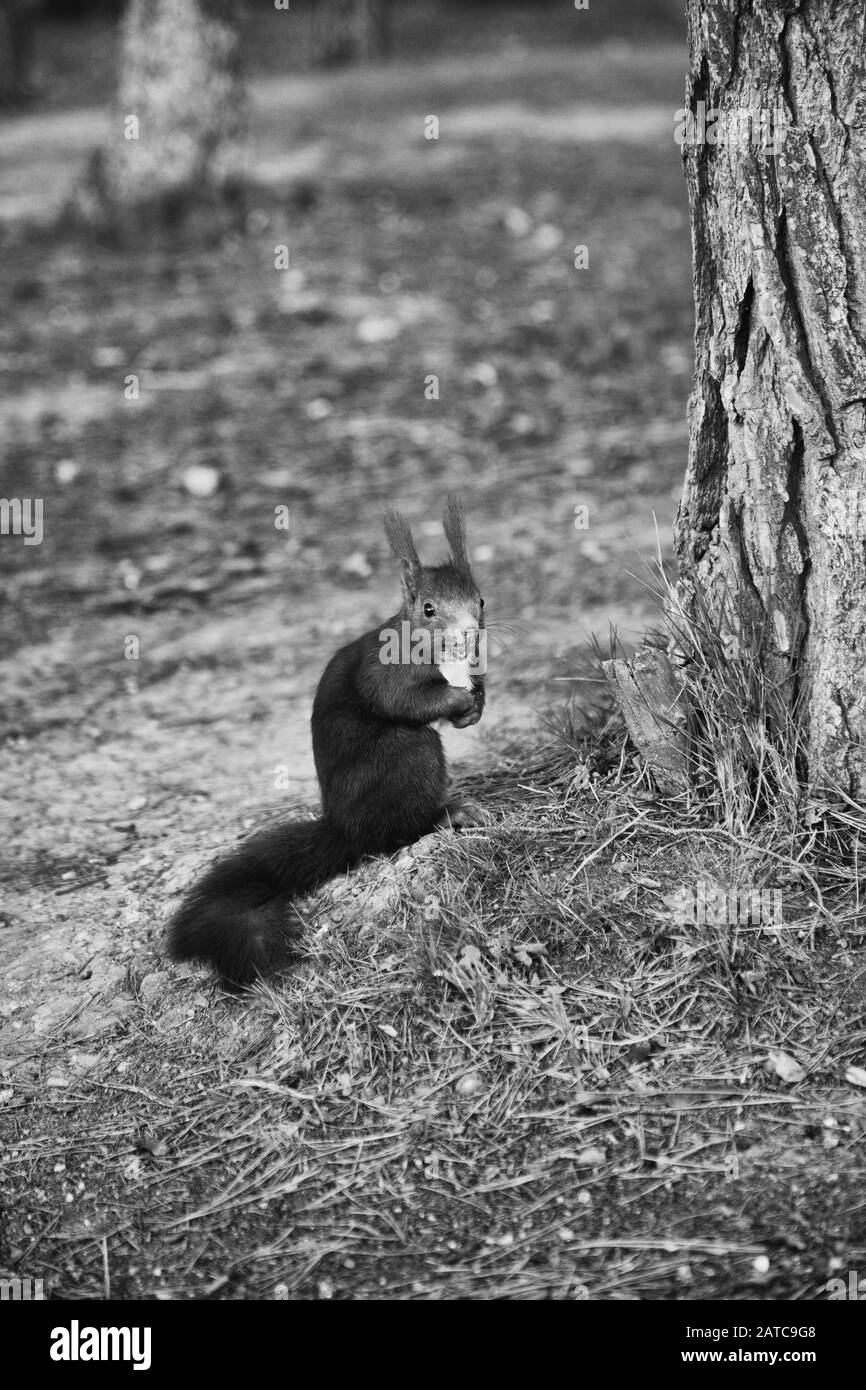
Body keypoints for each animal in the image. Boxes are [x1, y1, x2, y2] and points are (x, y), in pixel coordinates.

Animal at [166, 500, 483, 989]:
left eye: (480, 600)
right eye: (429, 609)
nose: (469, 633)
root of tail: (343, 828)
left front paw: (476, 702)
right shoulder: (383, 671)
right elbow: (399, 700)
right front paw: (457, 700)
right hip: (406, 756)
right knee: (394, 831)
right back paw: (445, 816)